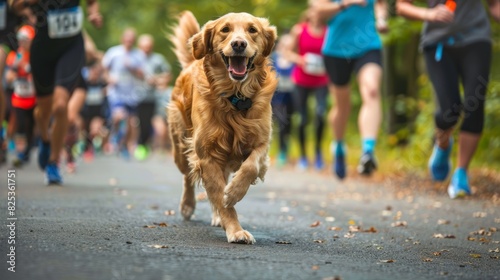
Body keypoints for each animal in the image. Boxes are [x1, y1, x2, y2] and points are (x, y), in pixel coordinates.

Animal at [168, 10, 278, 243]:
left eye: (252, 30)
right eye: (225, 30)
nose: (239, 44)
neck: (236, 97)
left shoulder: (262, 143)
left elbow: (251, 167)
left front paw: (234, 192)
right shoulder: (207, 155)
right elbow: (220, 196)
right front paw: (235, 230)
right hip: (181, 146)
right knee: (187, 175)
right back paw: (188, 205)